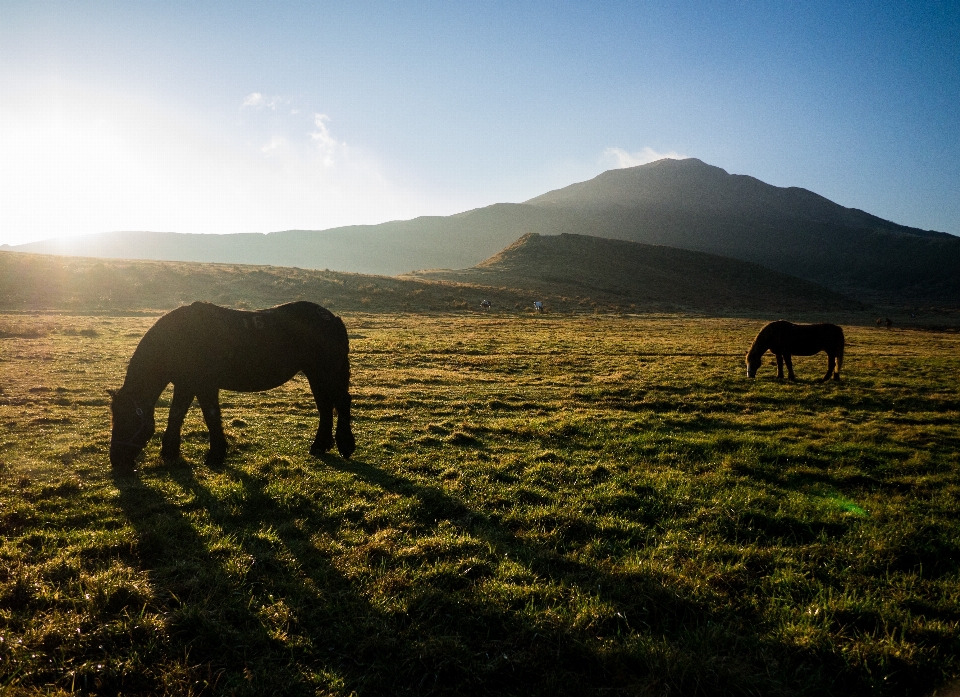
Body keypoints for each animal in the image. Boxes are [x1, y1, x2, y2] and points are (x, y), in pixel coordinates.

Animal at [109, 300, 356, 468]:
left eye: (128, 420)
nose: (117, 462)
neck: (178, 338)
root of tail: (332, 318)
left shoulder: (205, 386)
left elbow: (210, 416)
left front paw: (215, 455)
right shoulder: (186, 384)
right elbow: (176, 414)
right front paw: (170, 452)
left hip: (327, 373)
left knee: (341, 402)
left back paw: (345, 445)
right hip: (316, 375)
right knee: (325, 407)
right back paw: (320, 445)